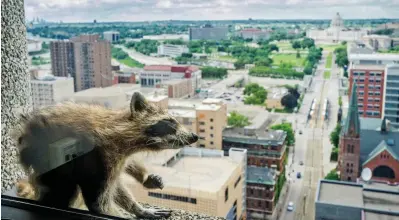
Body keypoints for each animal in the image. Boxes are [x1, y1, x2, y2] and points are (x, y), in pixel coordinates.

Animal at [14, 92, 198, 219]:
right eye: (170, 121)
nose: (194, 136)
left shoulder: (118, 156)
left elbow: (119, 182)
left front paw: (142, 191)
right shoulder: (97, 156)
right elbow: (98, 203)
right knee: (64, 189)